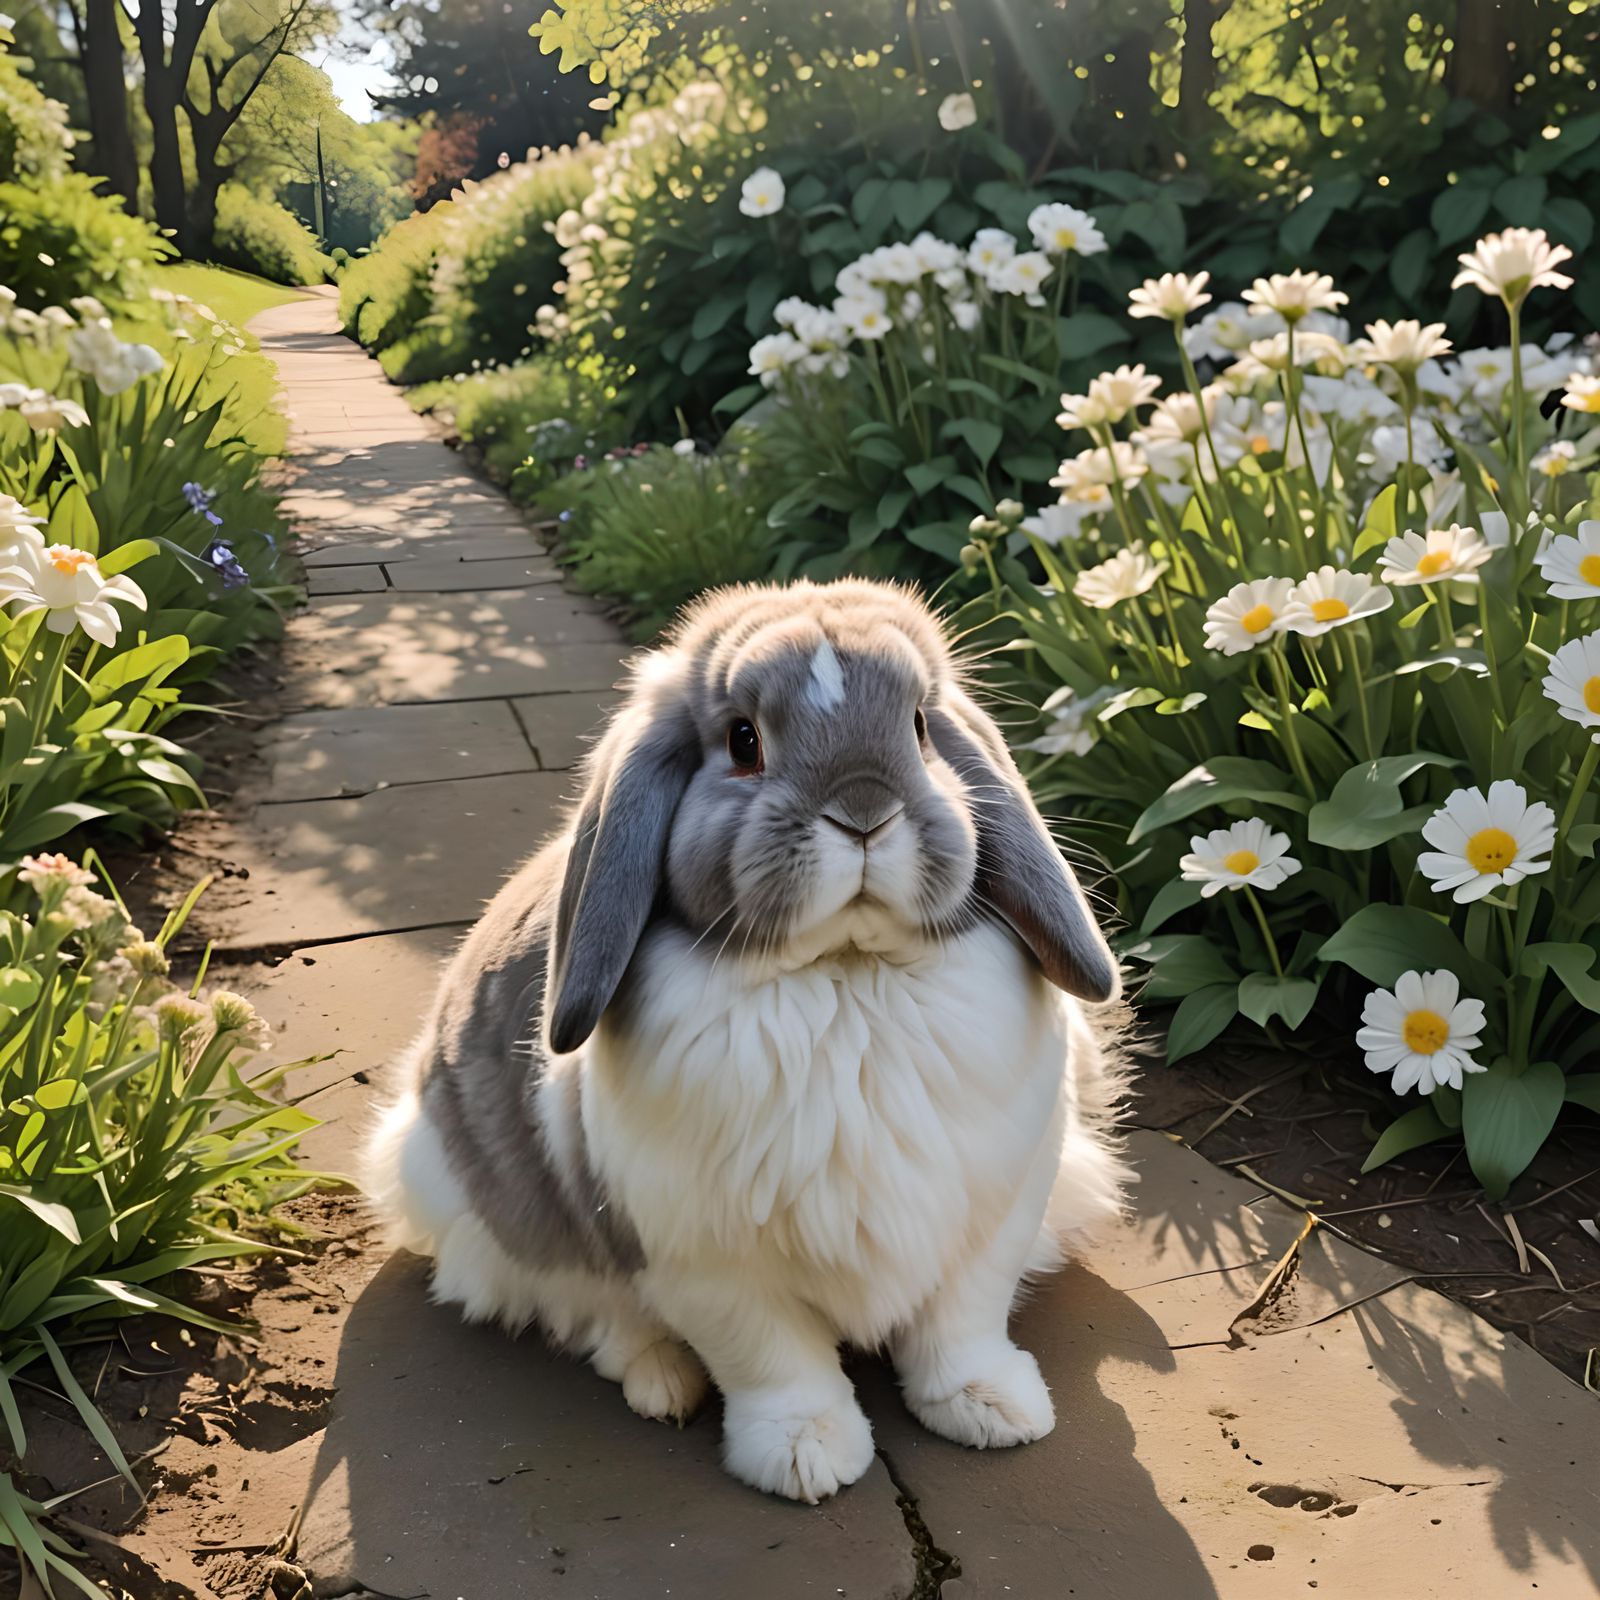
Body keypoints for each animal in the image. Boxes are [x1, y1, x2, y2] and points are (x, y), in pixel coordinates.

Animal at [364, 577, 1130, 1504]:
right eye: (743, 740)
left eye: (920, 726)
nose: (865, 811)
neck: (845, 978)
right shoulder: (701, 1258)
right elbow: (771, 1360)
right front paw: (806, 1459)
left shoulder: (994, 1215)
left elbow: (962, 1325)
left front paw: (995, 1411)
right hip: (481, 1214)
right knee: (592, 1317)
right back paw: (663, 1384)